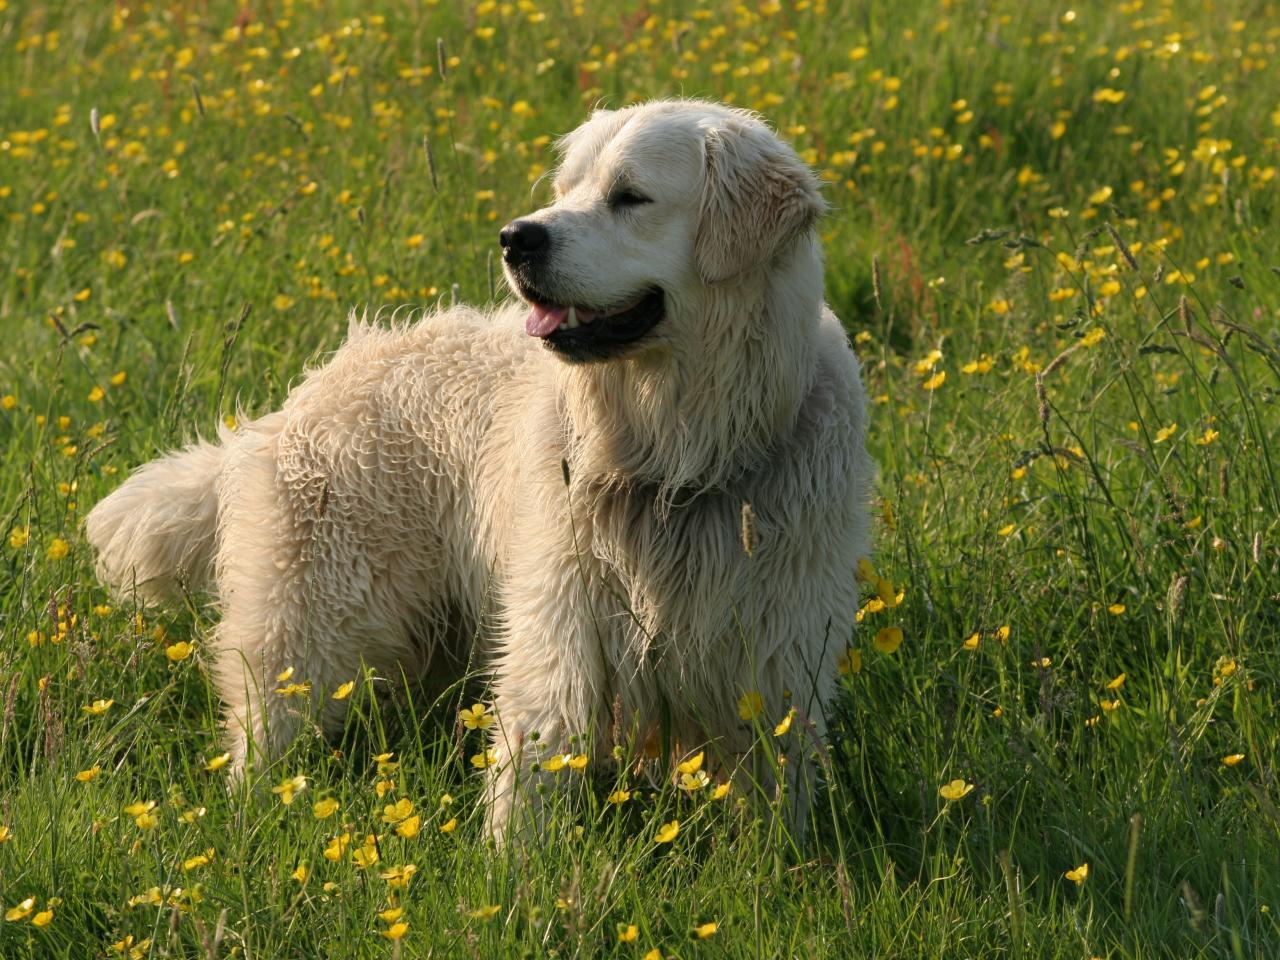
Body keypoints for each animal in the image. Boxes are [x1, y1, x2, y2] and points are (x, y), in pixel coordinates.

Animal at [85, 99, 875, 839]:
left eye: (630, 196)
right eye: (566, 187)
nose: (516, 237)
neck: (681, 457)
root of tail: (298, 398)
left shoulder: (776, 659)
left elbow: (773, 795)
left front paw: (776, 865)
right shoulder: (562, 632)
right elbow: (536, 765)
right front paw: (515, 871)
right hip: (310, 627)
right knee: (262, 729)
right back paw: (252, 818)